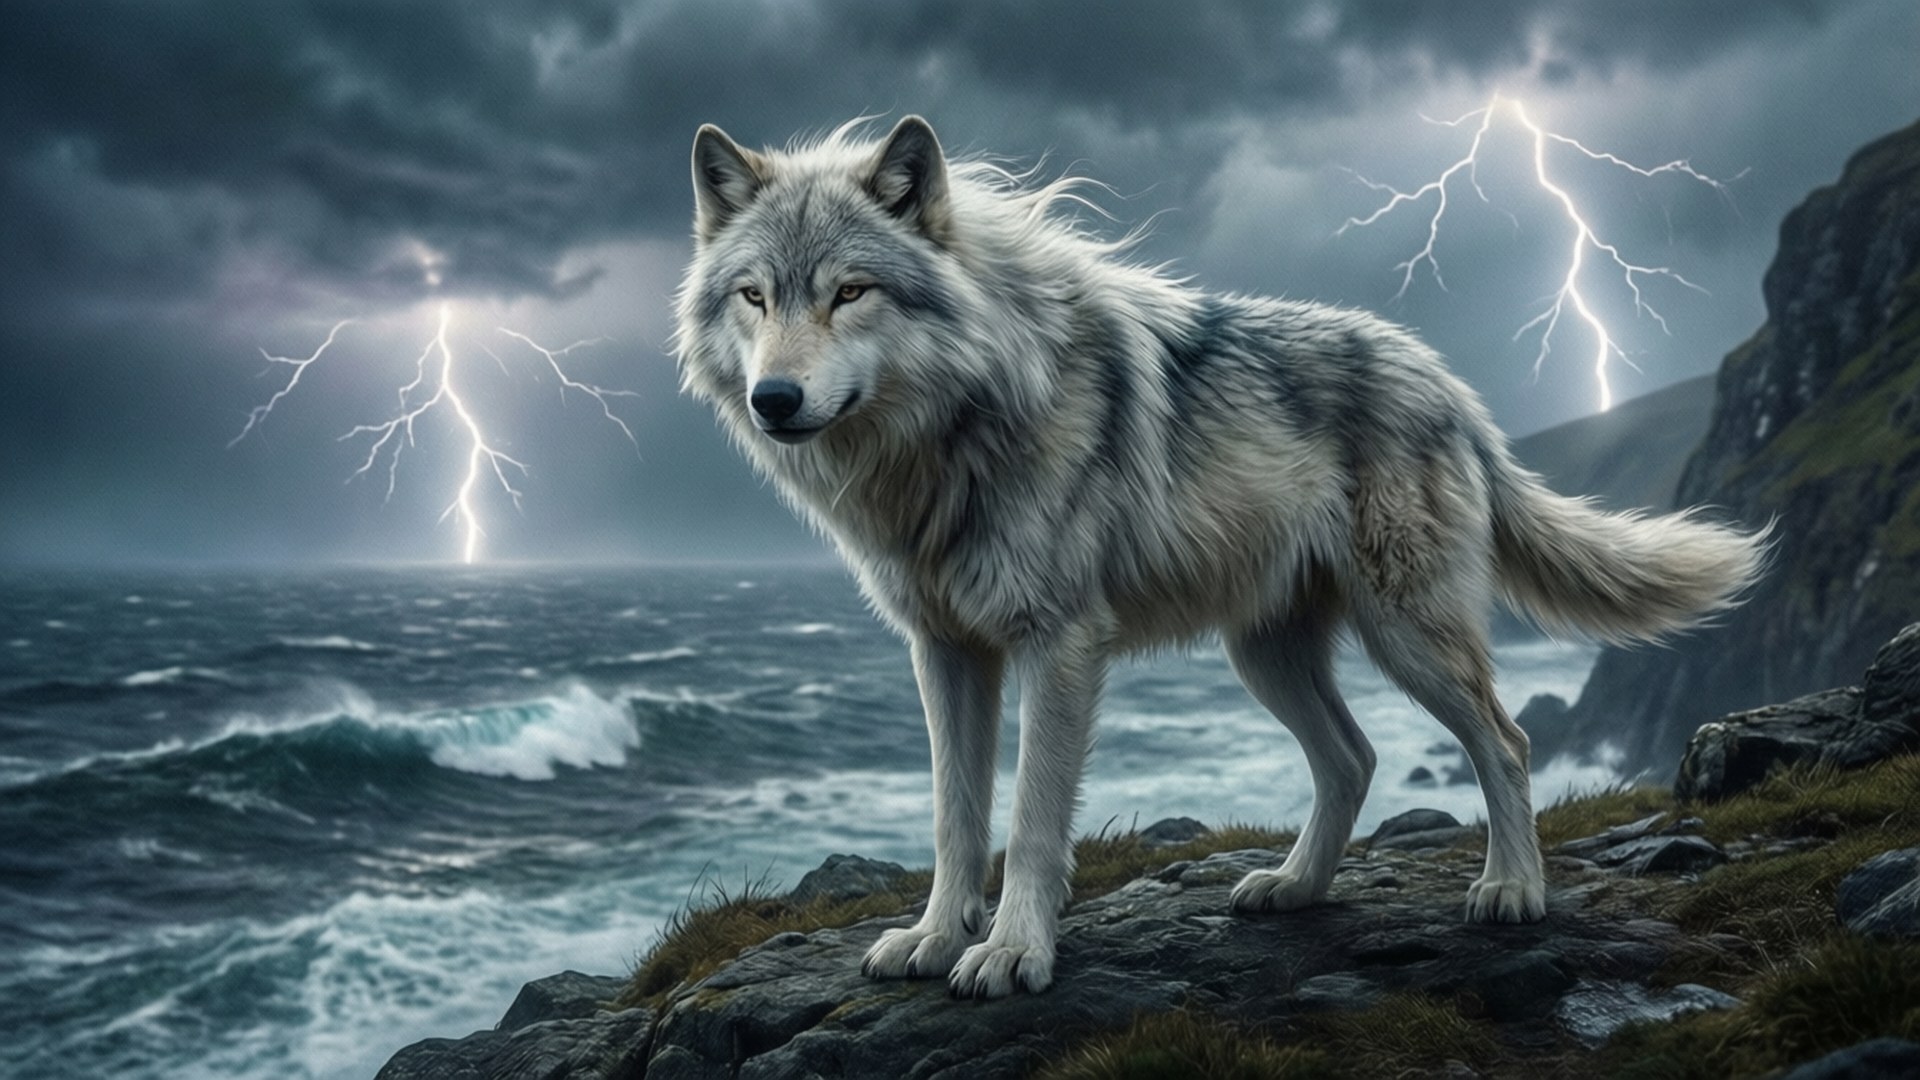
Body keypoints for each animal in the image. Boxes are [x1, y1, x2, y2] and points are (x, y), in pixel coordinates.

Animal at [672, 115, 1766, 999]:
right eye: (755, 297)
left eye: (849, 292)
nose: (775, 400)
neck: (952, 437)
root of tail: (1452, 385)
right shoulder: (944, 653)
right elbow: (954, 815)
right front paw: (936, 938)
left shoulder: (1058, 647)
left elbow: (1030, 822)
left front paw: (1013, 953)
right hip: (1265, 654)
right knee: (1356, 757)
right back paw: (1294, 887)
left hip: (1407, 636)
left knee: (1508, 741)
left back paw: (1510, 889)